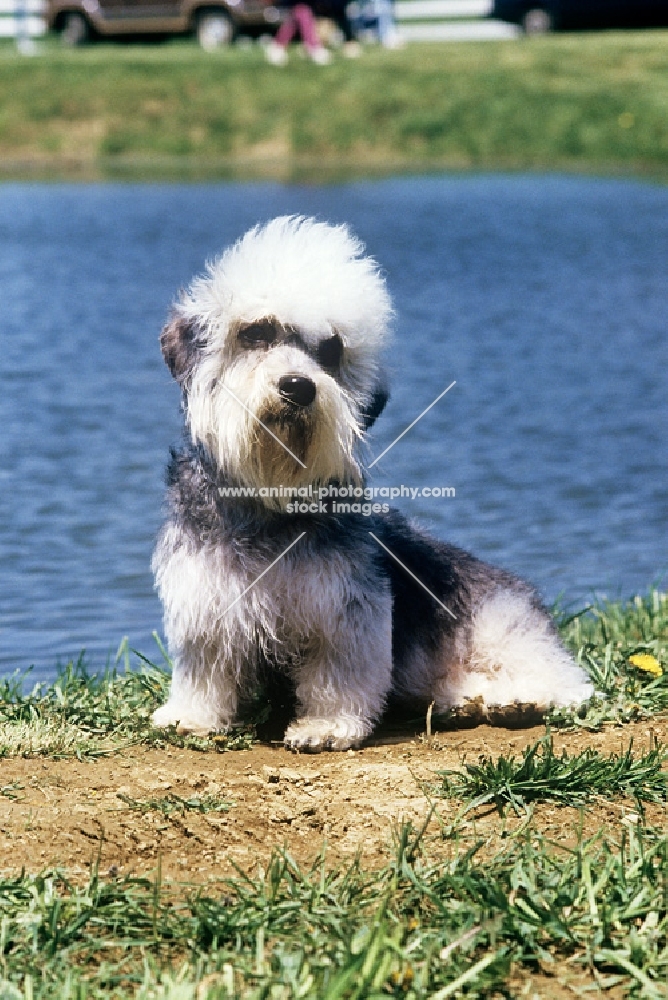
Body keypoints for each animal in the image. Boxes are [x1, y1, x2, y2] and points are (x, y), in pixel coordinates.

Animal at [153, 217, 596, 752]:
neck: (271, 503)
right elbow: (204, 671)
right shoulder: (205, 599)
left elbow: (338, 675)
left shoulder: (344, 608)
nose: (298, 387)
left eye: (331, 350)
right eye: (256, 332)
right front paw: (190, 715)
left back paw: (513, 699)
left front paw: (325, 726)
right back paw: (462, 701)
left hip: (502, 626)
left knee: (565, 681)